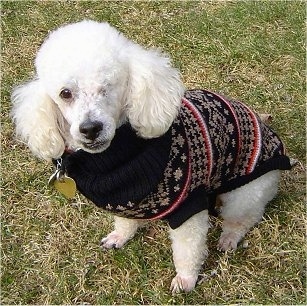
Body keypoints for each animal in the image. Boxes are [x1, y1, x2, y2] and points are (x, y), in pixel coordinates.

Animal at [10, 20, 294, 292]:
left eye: (108, 87)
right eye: (65, 93)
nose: (90, 128)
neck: (116, 155)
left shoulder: (189, 207)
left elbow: (188, 249)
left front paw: (186, 279)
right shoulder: (125, 200)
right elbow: (125, 222)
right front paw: (120, 237)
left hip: (245, 193)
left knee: (245, 217)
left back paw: (230, 237)